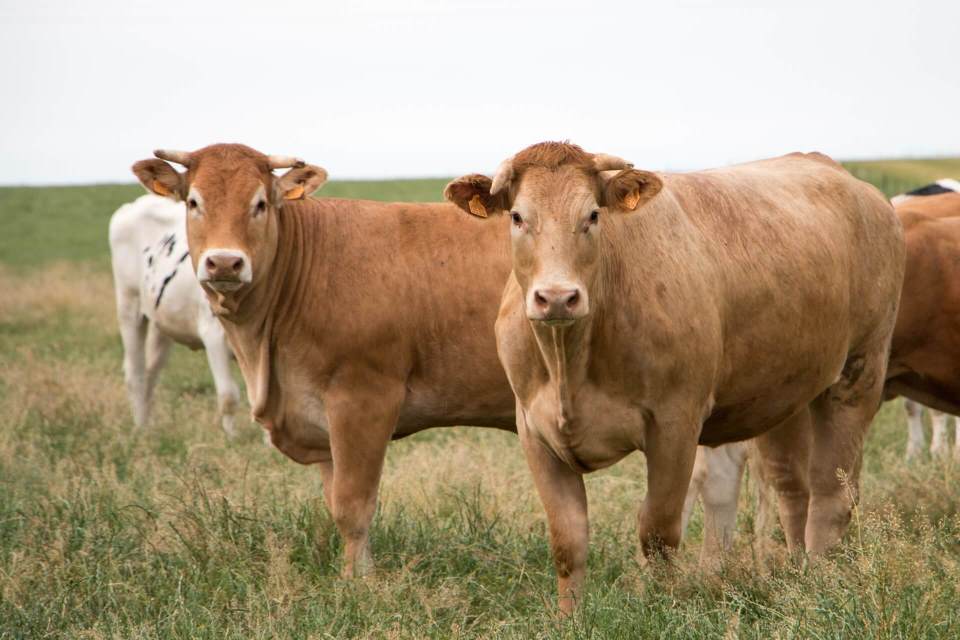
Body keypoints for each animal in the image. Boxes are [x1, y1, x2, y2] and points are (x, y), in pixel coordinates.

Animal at [108, 195, 242, 436]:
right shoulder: (213, 335)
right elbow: (228, 396)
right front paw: (233, 439)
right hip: (129, 307)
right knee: (135, 373)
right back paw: (140, 428)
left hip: (162, 323)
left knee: (151, 372)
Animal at [129, 146, 516, 580]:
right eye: (194, 202)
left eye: (259, 203)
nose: (225, 263)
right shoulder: (319, 418)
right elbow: (335, 502)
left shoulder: (363, 400)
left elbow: (352, 505)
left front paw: (358, 581)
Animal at [446, 142, 904, 612]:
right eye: (518, 217)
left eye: (592, 215)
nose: (557, 297)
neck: (569, 365)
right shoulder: (534, 431)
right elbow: (567, 539)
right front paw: (568, 618)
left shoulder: (675, 425)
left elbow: (658, 531)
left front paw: (659, 608)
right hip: (786, 391)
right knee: (793, 487)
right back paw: (796, 573)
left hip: (859, 374)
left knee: (833, 493)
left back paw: (822, 584)